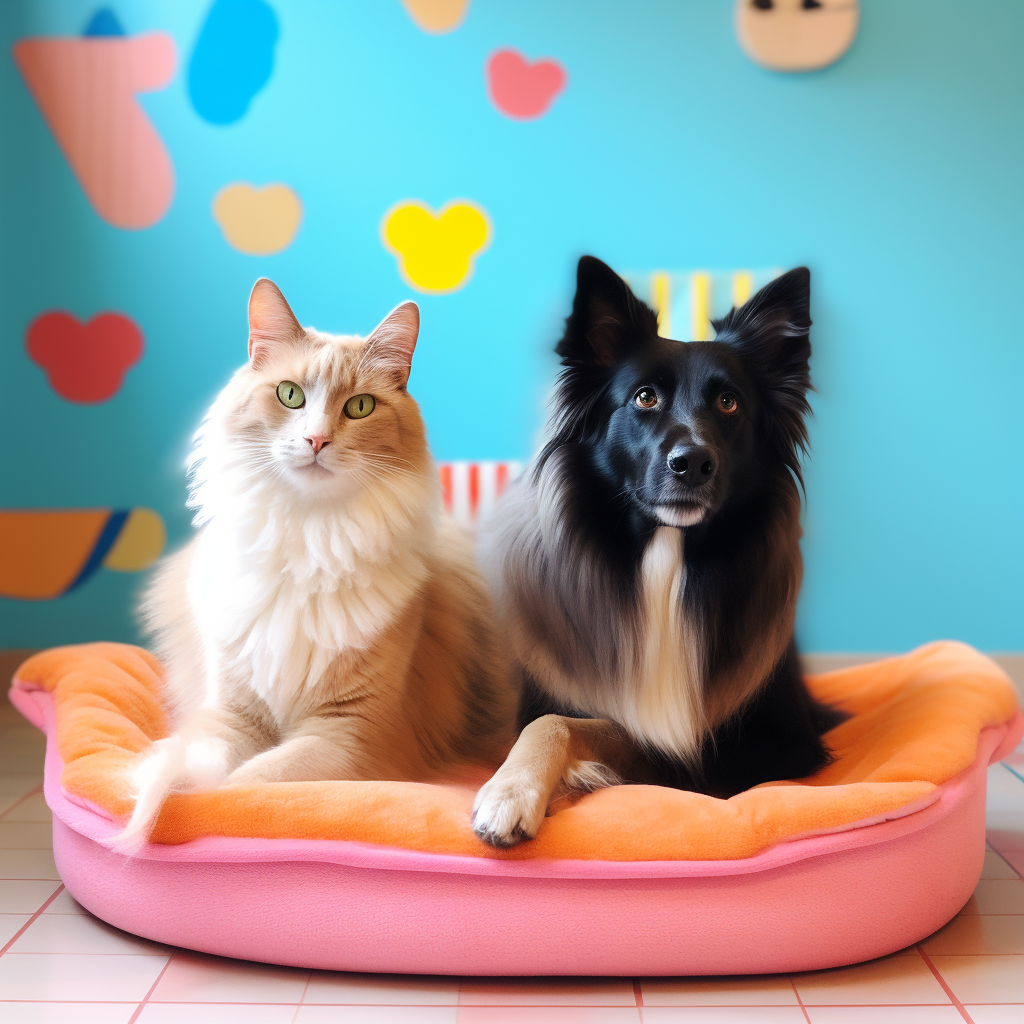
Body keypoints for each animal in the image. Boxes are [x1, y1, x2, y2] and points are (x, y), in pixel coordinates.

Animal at [112, 276, 520, 851]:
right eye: (290, 395)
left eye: (360, 407)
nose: (316, 440)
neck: (308, 540)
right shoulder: (231, 717)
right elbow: (190, 765)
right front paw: (155, 798)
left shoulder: (351, 735)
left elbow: (245, 785)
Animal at [468, 256, 839, 847]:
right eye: (645, 397)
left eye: (729, 402)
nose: (693, 464)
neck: (668, 559)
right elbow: (557, 721)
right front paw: (511, 792)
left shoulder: (772, 743)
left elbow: (639, 745)